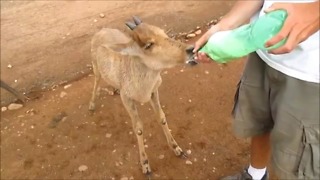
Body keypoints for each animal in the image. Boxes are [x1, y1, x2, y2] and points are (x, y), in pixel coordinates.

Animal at [89, 16, 196, 176]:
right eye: (148, 44)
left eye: (164, 33)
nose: (190, 50)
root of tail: (101, 31)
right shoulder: (126, 98)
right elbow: (138, 127)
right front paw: (145, 164)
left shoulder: (153, 91)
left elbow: (161, 117)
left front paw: (177, 148)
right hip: (96, 68)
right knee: (96, 82)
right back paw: (91, 105)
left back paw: (114, 88)